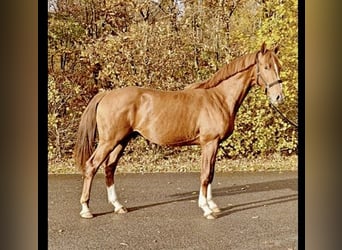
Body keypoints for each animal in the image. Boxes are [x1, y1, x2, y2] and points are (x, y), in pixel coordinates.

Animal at [74, 42, 284, 219]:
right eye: (266, 67)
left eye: (278, 67)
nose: (279, 97)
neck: (219, 98)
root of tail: (106, 94)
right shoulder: (209, 143)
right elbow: (205, 174)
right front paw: (206, 209)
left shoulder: (213, 144)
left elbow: (211, 173)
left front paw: (212, 205)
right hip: (108, 142)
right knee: (92, 166)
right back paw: (86, 209)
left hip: (121, 141)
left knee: (110, 168)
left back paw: (118, 206)